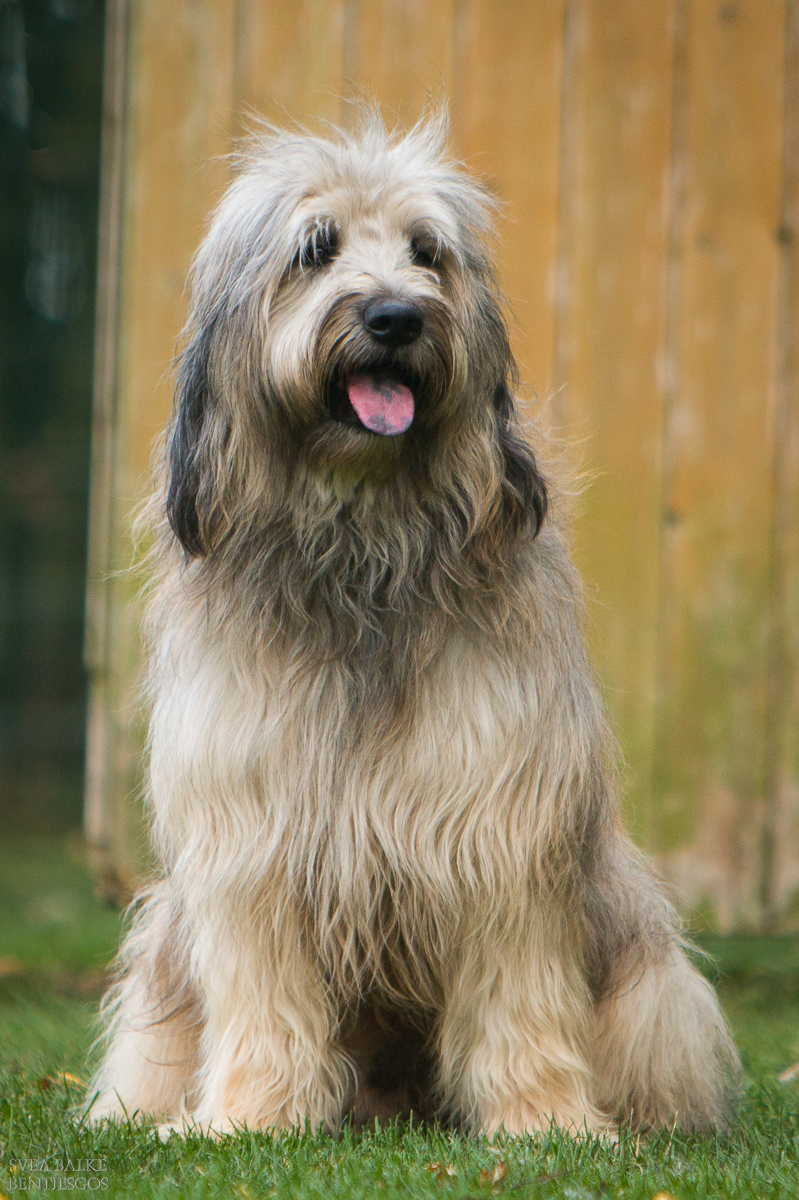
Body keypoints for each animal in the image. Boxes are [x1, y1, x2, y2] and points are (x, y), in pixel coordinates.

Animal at [85, 112, 734, 1132]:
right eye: (315, 249)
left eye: (427, 252)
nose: (396, 316)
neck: (363, 538)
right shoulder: (252, 838)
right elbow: (264, 994)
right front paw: (249, 1117)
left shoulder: (497, 820)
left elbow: (517, 989)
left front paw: (545, 1120)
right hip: (168, 941)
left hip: (641, 961)